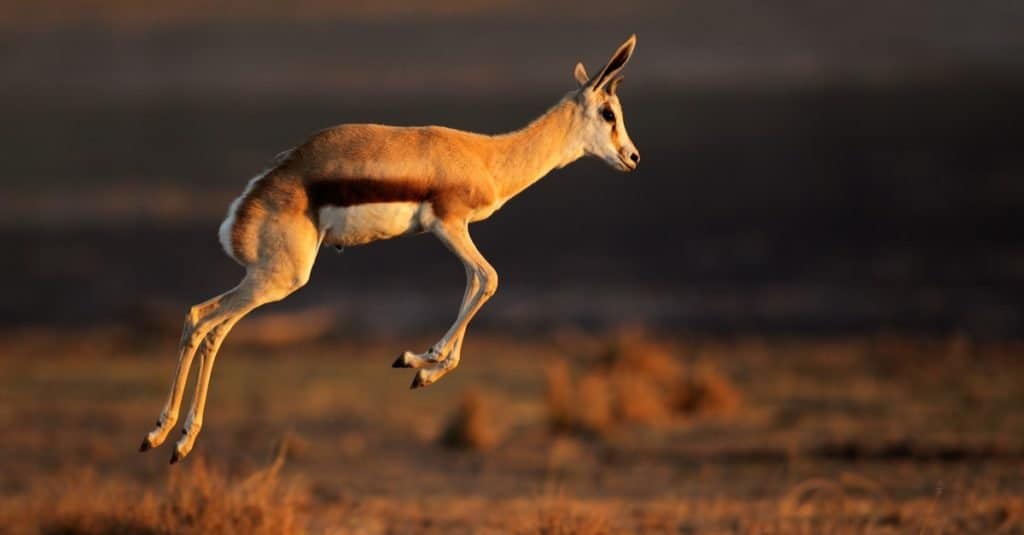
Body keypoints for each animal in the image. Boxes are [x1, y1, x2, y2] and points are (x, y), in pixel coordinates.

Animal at [142, 34, 638, 461]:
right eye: (608, 113)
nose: (632, 157)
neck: (488, 158)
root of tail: (252, 197)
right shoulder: (448, 225)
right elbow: (488, 279)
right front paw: (422, 360)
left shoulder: (454, 232)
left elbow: (473, 285)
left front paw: (421, 368)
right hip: (280, 279)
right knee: (209, 324)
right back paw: (172, 438)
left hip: (264, 278)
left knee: (204, 320)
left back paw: (165, 437)